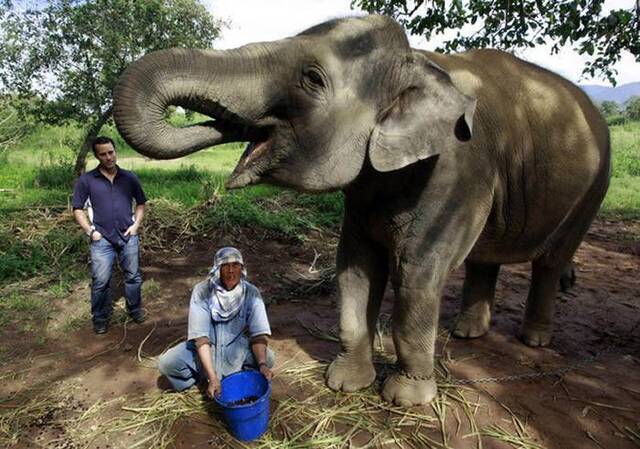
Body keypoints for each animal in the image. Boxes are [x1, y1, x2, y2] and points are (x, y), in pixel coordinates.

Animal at [114, 14, 608, 406]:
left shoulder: (458, 170)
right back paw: (467, 334)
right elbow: (355, 266)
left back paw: (534, 339)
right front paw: (345, 385)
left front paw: (406, 399)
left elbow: (417, 272)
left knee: (551, 261)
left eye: (313, 79)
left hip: (591, 189)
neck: (419, 62)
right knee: (484, 258)